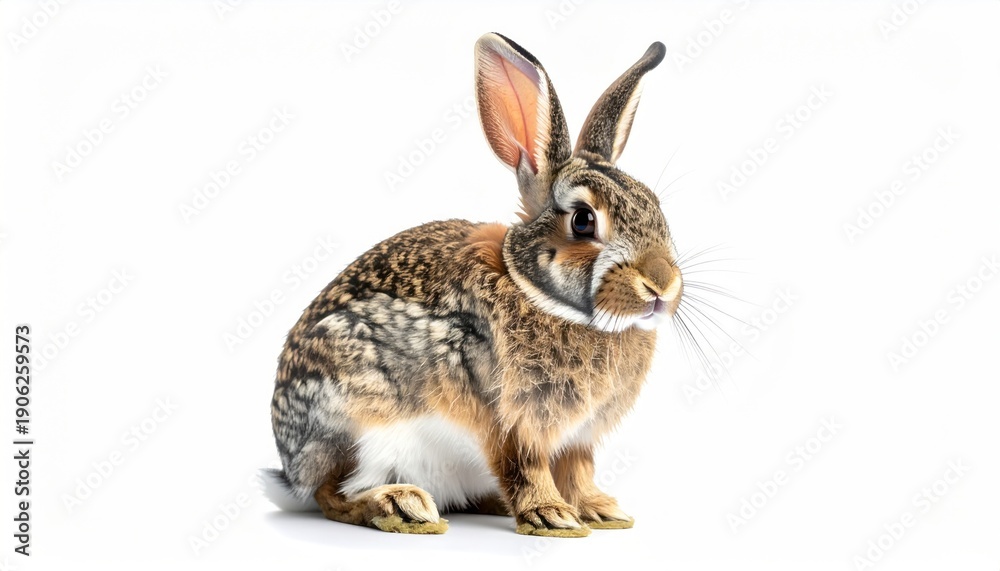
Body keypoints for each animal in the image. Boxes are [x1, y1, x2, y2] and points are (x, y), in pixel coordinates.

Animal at [263, 32, 680, 537]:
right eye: (583, 221)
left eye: (655, 206)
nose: (662, 285)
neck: (538, 293)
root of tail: (291, 470)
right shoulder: (507, 419)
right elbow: (523, 467)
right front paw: (553, 515)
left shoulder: (579, 437)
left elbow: (578, 470)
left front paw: (600, 510)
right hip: (353, 420)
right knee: (332, 494)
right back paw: (401, 504)